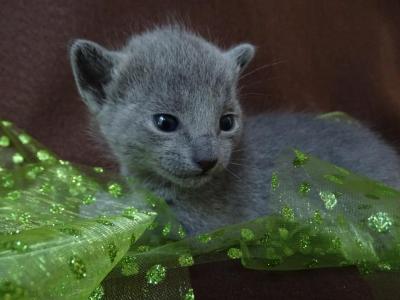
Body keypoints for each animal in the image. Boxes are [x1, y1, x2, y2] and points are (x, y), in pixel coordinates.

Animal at [69, 25, 400, 234]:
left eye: (226, 122)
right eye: (165, 123)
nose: (207, 159)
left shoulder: (202, 224)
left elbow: (144, 217)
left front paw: (96, 209)